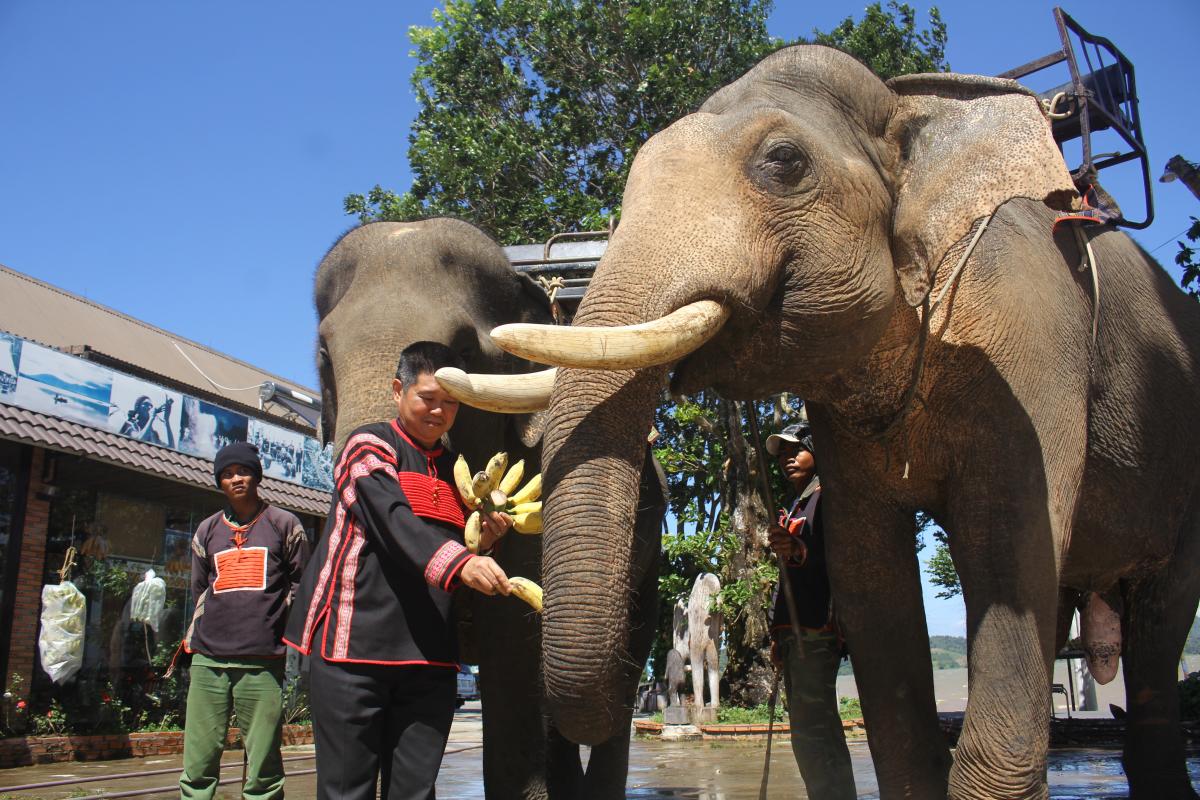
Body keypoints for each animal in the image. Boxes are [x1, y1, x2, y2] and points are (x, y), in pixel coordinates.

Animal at [448, 47, 1200, 800]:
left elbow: (1011, 556)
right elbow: (869, 576)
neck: (911, 105)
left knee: (1160, 621)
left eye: (784, 162)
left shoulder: (1032, 340)